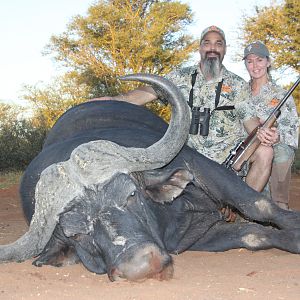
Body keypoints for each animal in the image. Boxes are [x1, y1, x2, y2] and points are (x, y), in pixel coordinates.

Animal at [0, 73, 300, 282]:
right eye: (77, 233)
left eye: (131, 194)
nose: (141, 267)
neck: (172, 213)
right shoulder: (199, 238)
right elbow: (253, 236)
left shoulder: (203, 168)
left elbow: (258, 205)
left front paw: (294, 226)